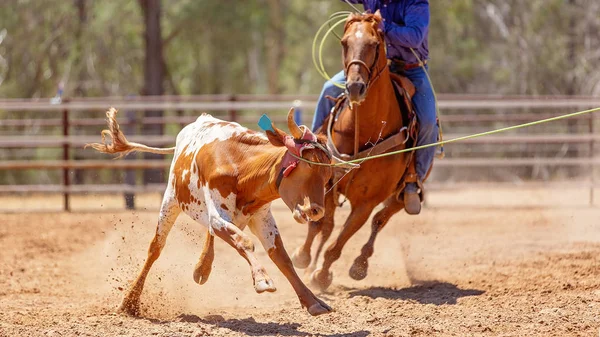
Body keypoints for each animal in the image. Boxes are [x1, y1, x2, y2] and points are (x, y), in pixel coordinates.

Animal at [87, 107, 336, 316]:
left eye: (327, 175)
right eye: (306, 165)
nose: (316, 210)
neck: (241, 166)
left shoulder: (262, 217)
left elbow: (281, 256)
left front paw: (312, 301)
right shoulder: (217, 214)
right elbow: (244, 241)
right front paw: (263, 280)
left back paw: (202, 268)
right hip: (171, 201)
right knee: (155, 248)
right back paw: (130, 301)